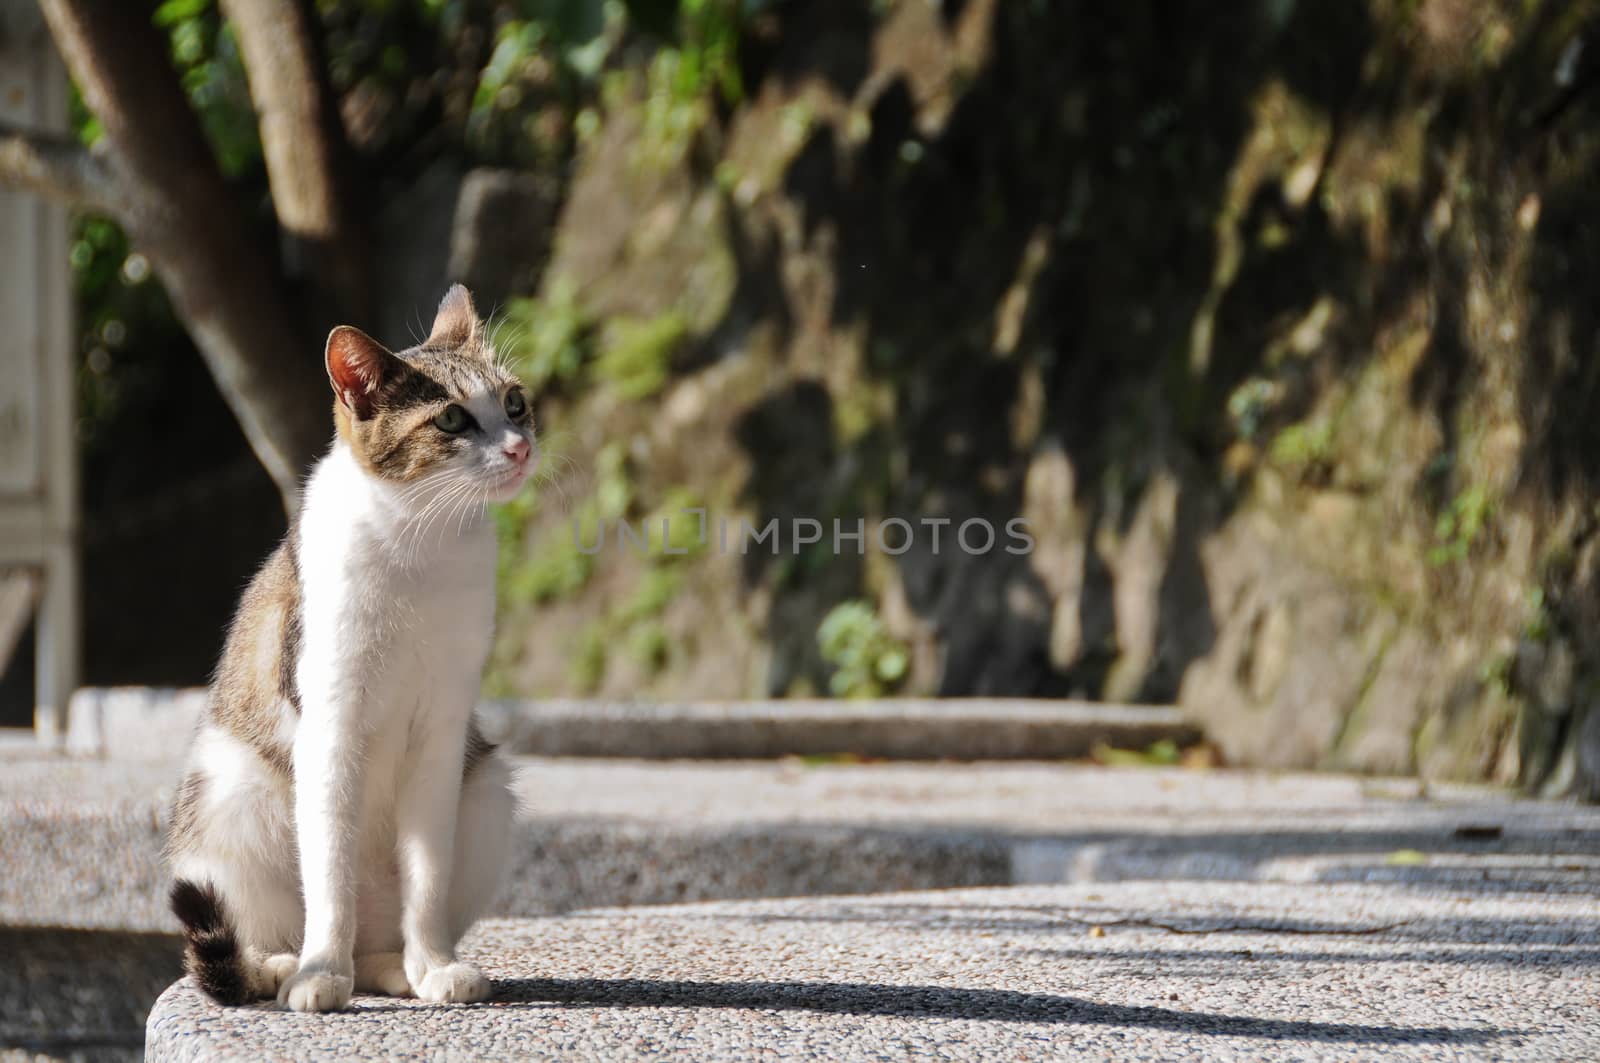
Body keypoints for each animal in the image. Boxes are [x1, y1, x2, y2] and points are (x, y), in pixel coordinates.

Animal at [166, 284, 534, 1011]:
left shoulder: (443, 733)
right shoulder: (330, 723)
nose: (517, 448)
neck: (423, 541)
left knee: (377, 949)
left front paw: (434, 964)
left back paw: (398, 968)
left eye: (514, 402)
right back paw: (280, 967)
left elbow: (427, 873)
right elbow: (329, 873)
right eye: (452, 419)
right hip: (230, 791)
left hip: (486, 790)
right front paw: (318, 974)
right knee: (258, 933)